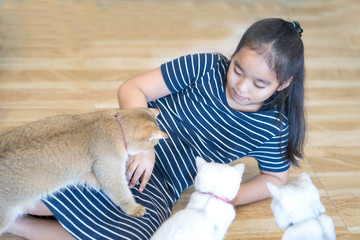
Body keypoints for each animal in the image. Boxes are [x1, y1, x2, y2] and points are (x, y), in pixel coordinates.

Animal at [0, 108, 168, 235]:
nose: (152, 150)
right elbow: (123, 194)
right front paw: (134, 208)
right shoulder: (110, 174)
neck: (114, 125)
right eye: (154, 143)